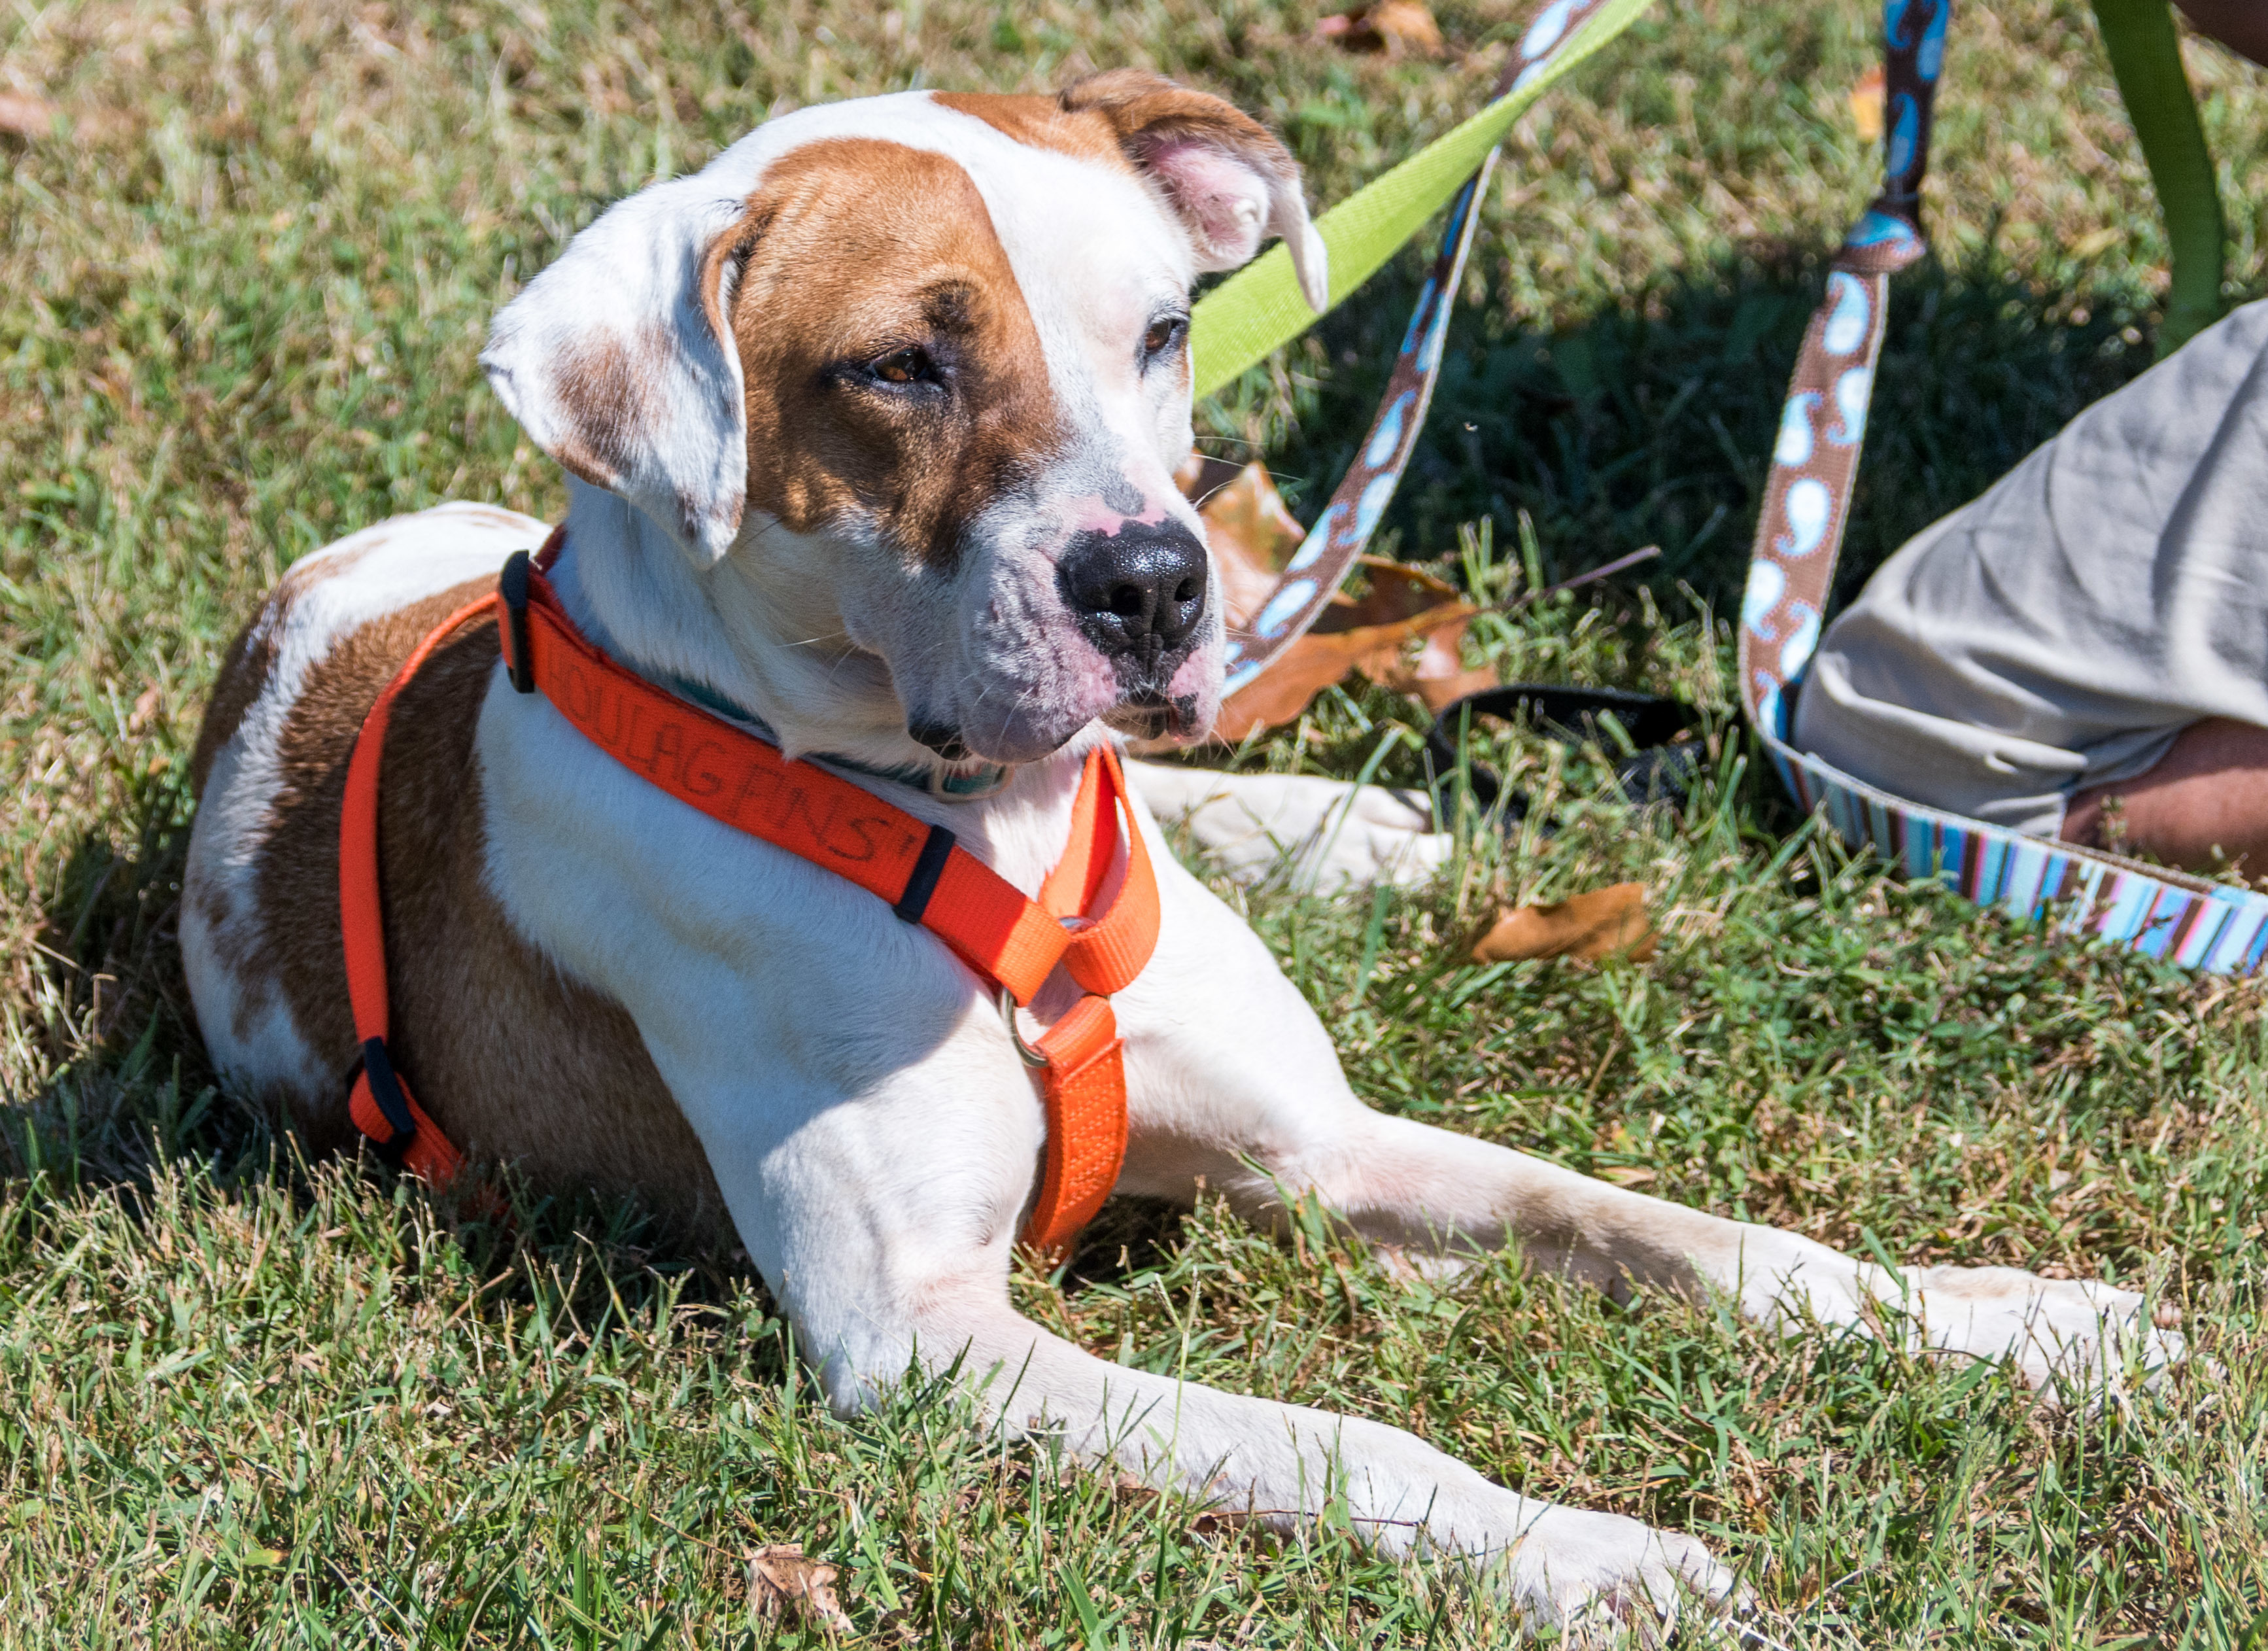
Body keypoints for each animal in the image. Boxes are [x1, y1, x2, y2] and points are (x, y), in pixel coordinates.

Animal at [190, 74, 2177, 1624]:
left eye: (1161, 331)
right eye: (897, 367)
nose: (1154, 584)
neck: (971, 821)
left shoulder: (1323, 1138)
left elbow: (1667, 1230)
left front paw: (2014, 1320)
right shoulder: (922, 1337)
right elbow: (1342, 1439)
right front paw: (1585, 1553)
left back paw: (1335, 826)